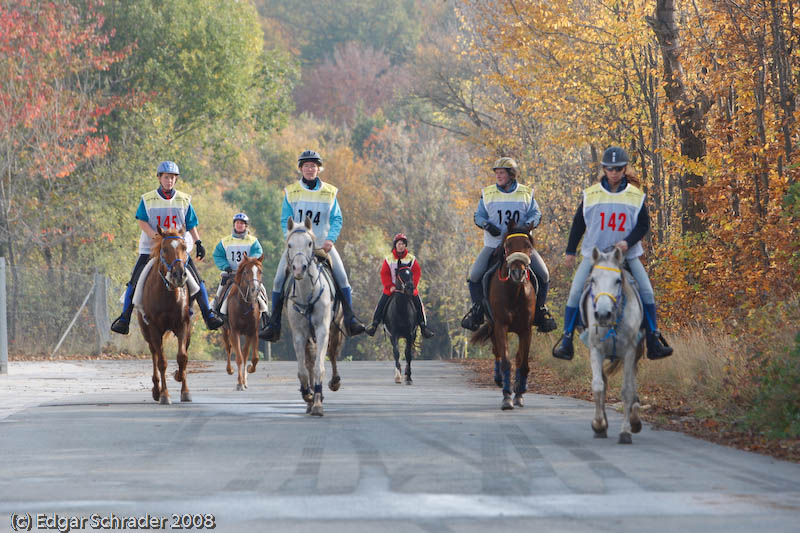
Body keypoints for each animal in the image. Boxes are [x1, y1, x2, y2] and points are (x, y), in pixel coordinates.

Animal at [138, 224, 192, 404]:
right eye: (164, 249)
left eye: (184, 248)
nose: (179, 275)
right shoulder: (154, 328)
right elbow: (162, 361)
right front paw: (164, 394)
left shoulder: (183, 325)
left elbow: (182, 356)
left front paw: (183, 386)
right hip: (147, 332)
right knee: (154, 354)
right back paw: (156, 390)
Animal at [222, 256, 266, 388]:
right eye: (246, 272)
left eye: (260, 271)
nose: (255, 289)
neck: (244, 305)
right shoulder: (235, 332)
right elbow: (239, 357)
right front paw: (240, 383)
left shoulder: (252, 332)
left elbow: (253, 357)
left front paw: (249, 371)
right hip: (225, 330)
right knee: (229, 348)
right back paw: (230, 370)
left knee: (244, 353)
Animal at [282, 216, 342, 416]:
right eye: (290, 244)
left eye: (309, 243)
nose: (299, 269)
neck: (307, 293)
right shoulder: (299, 334)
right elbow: (303, 369)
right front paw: (308, 395)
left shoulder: (323, 330)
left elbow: (318, 367)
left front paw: (317, 404)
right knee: (309, 361)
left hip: (334, 328)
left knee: (332, 354)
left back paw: (334, 383)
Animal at [468, 222, 536, 410]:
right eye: (508, 246)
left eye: (528, 246)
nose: (518, 273)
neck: (515, 292)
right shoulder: (500, 325)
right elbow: (506, 360)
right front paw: (507, 397)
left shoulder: (526, 329)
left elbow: (523, 361)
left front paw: (519, 393)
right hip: (492, 325)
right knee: (497, 351)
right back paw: (499, 380)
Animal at [584, 247, 648, 442]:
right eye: (593, 279)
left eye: (618, 280)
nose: (603, 314)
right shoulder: (595, 350)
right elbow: (598, 385)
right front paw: (599, 424)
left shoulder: (629, 351)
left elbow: (627, 390)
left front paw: (625, 432)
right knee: (604, 381)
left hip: (635, 353)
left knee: (632, 382)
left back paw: (635, 419)